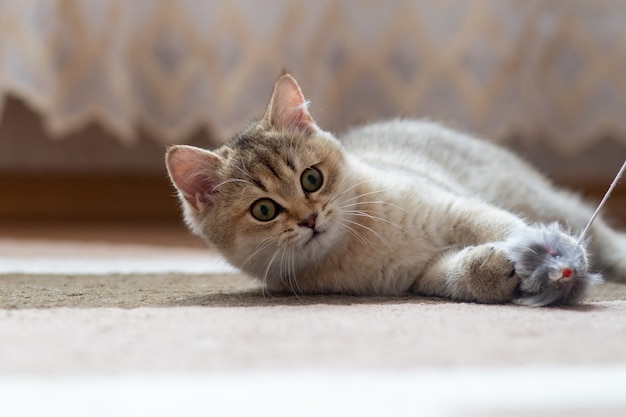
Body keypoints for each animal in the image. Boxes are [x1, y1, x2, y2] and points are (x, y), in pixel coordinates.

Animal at [166, 72, 624, 306]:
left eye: (311, 179)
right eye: (264, 210)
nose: (310, 219)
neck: (358, 241)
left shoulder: (455, 207)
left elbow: (501, 225)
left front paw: (549, 256)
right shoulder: (414, 276)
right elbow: (452, 275)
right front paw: (494, 272)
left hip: (540, 197)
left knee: (602, 235)